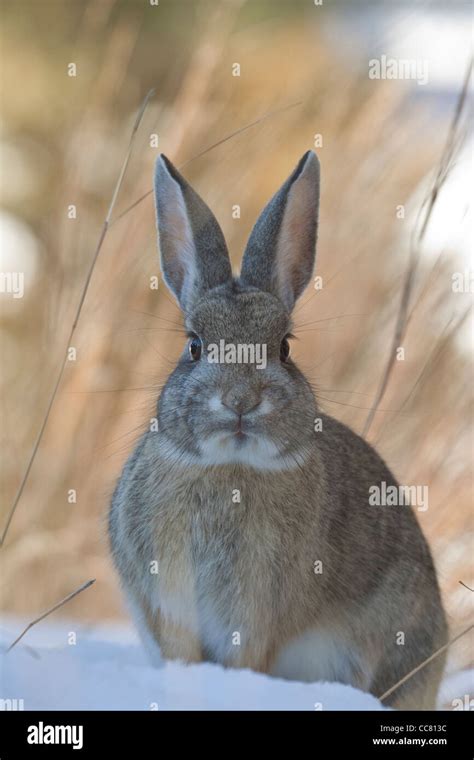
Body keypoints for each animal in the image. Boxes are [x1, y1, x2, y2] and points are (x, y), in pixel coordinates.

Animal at [110, 151, 448, 708]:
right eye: (194, 346)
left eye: (285, 348)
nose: (241, 401)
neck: (231, 466)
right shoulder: (168, 606)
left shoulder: (253, 614)